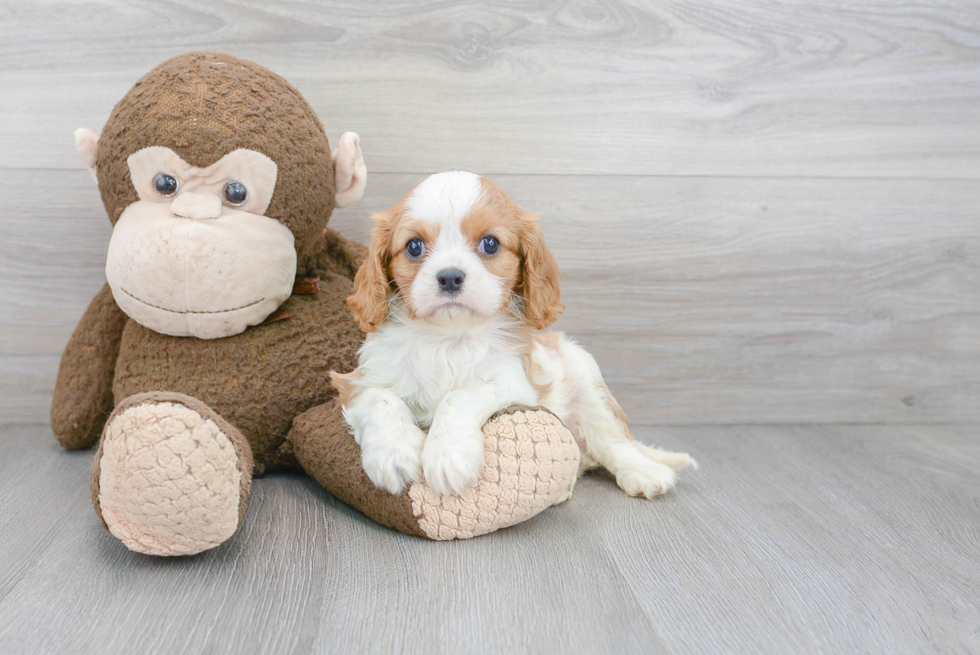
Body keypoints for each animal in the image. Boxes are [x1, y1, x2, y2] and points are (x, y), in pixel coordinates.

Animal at [334, 172, 692, 500]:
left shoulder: (513, 382)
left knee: (611, 440)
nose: (449, 277)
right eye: (413, 246)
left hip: (584, 375)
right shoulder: (357, 381)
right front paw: (394, 454)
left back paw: (643, 472)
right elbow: (380, 399)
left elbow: (458, 397)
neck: (450, 338)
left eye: (490, 243)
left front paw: (448, 456)